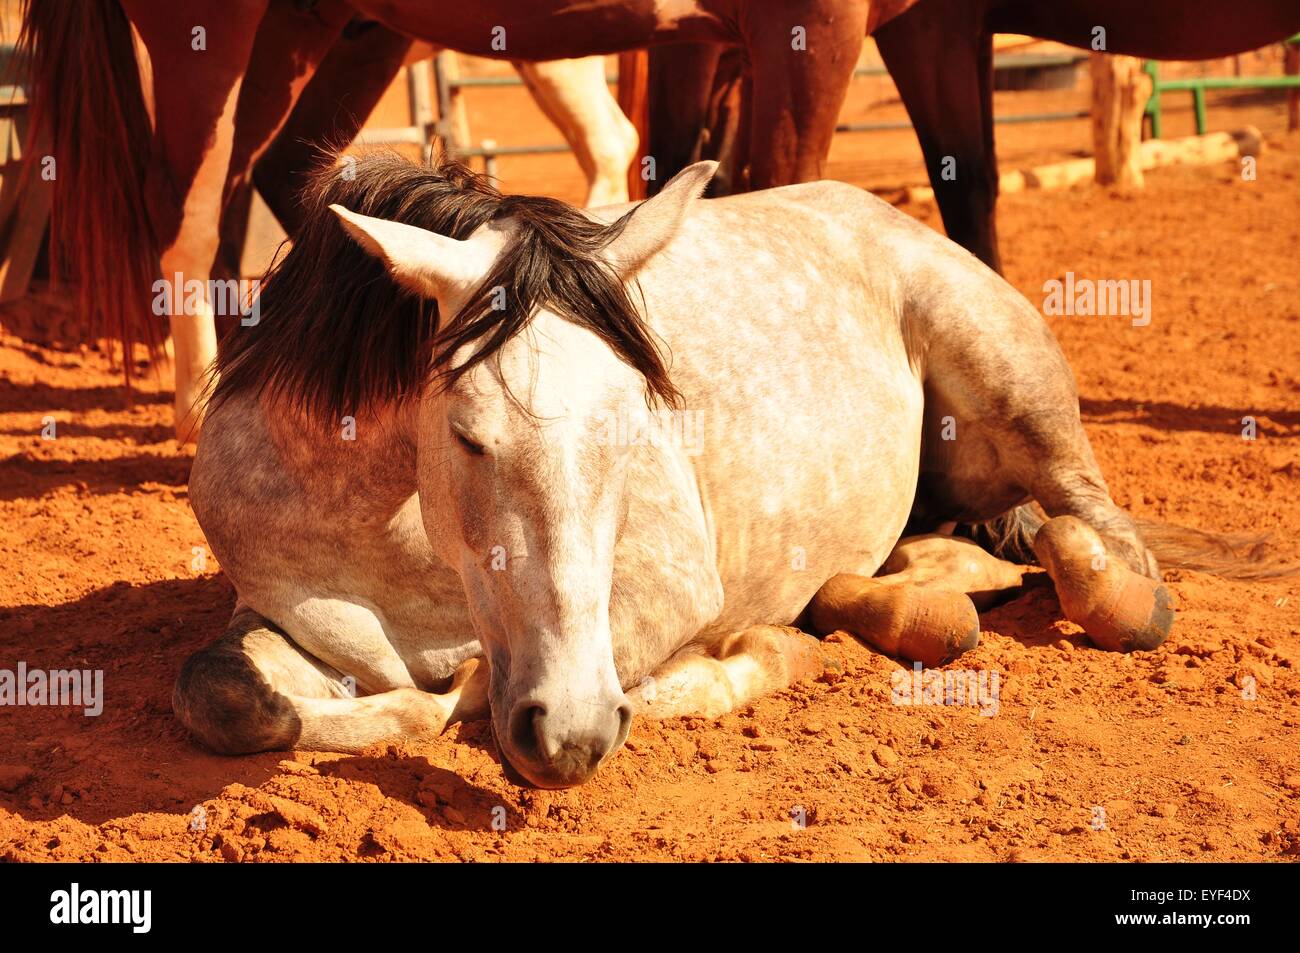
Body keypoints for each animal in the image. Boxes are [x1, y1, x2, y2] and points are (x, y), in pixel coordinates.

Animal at [173, 151, 1285, 789]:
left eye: (634, 426)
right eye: (469, 433)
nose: (571, 733)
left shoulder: (656, 597)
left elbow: (476, 698)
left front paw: (742, 662)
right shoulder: (283, 614)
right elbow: (229, 695)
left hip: (1010, 378)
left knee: (1093, 528)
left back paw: (1116, 595)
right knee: (954, 560)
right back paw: (898, 607)